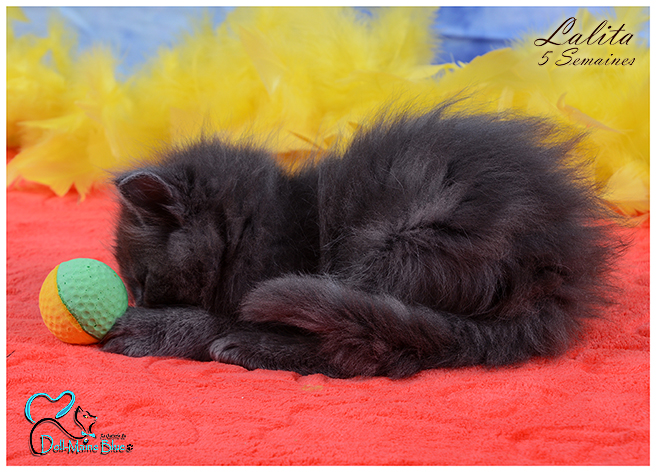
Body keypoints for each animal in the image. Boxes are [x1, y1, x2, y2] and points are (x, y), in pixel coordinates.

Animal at [102, 101, 619, 378]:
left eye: (142, 281)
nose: (141, 302)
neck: (263, 219)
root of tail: (558, 275)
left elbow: (221, 314)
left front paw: (154, 328)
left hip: (399, 242)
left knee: (365, 348)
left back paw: (245, 347)